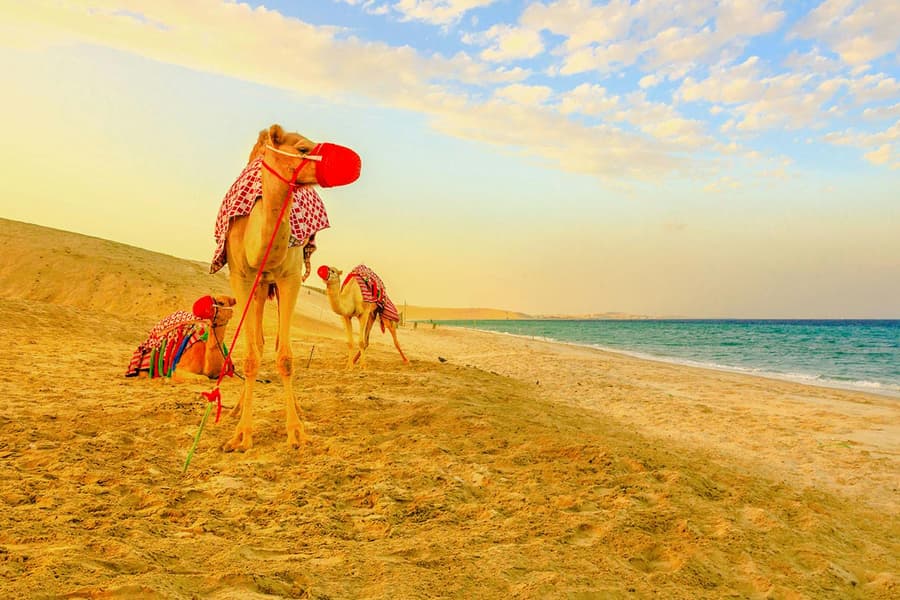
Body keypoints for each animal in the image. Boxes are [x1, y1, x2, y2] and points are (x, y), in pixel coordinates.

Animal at [217, 124, 360, 451]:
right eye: (304, 149)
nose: (354, 162)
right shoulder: (241, 277)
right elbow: (251, 354)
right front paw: (241, 436)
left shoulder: (290, 277)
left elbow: (285, 357)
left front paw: (296, 431)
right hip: (259, 288)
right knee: (257, 343)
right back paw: (236, 409)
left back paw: (298, 410)